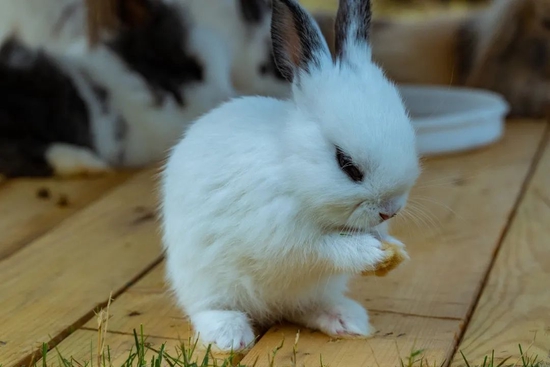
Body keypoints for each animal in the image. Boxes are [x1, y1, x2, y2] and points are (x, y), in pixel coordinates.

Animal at [162, 0, 420, 354]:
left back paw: (347, 320)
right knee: (208, 309)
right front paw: (372, 254)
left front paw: (393, 248)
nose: (389, 211)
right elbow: (329, 248)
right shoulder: (286, 238)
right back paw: (230, 337)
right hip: (204, 280)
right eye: (347, 165)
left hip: (314, 291)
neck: (292, 167)